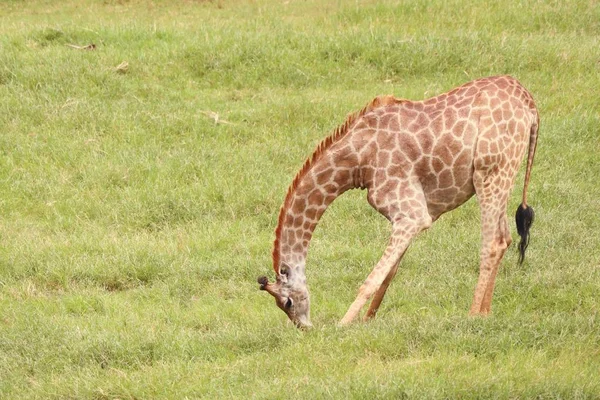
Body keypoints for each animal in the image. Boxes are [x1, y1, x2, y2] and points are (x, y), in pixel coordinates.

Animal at [258, 75, 540, 328]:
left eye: (287, 302)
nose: (304, 328)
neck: (357, 162)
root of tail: (530, 103)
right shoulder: (411, 215)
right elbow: (389, 273)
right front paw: (367, 321)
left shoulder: (411, 213)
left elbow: (372, 279)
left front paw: (343, 325)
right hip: (502, 175)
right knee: (504, 237)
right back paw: (486, 313)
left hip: (489, 172)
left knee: (492, 242)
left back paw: (472, 317)